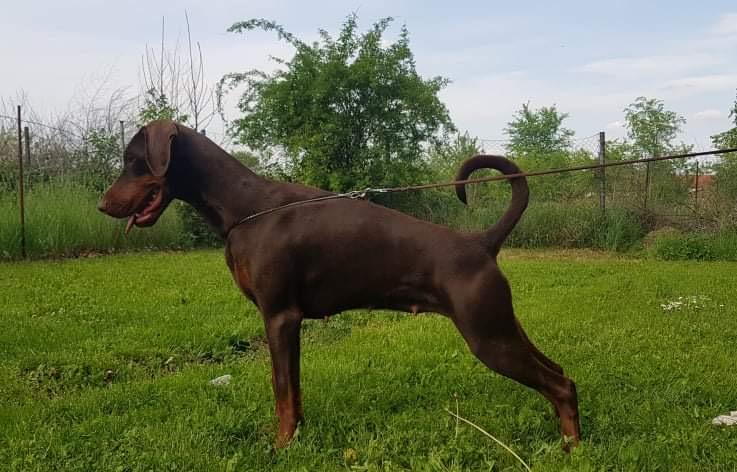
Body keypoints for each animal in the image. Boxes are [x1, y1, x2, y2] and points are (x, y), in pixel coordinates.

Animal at [98, 120, 581, 449]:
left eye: (131, 161)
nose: (102, 205)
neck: (245, 208)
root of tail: (481, 243)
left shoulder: (279, 317)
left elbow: (282, 390)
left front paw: (280, 446)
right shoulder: (285, 324)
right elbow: (292, 391)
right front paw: (293, 438)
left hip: (487, 336)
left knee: (559, 385)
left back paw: (571, 447)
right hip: (501, 325)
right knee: (560, 375)